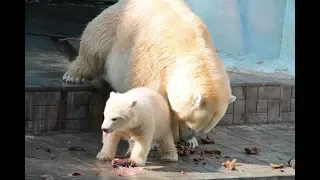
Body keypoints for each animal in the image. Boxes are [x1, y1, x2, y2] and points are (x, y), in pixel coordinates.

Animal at [62, 0, 236, 148]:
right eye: (190, 123)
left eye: (203, 129)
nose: (185, 138)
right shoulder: (153, 61)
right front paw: (154, 140)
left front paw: (191, 142)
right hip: (113, 28)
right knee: (93, 49)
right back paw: (73, 75)